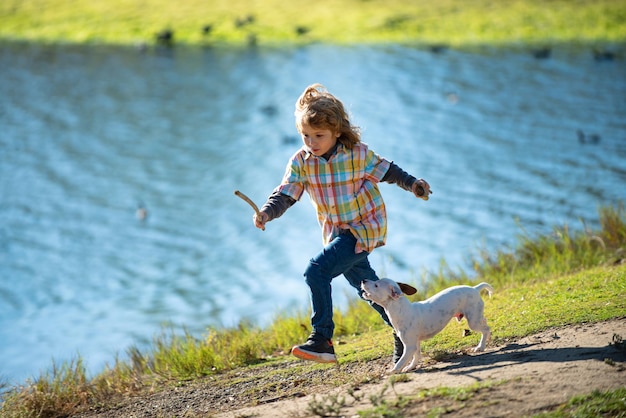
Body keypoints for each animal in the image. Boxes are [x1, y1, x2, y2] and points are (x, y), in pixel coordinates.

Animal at [360, 280, 492, 374]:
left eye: (376, 285)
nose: (363, 280)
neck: (400, 310)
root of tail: (474, 288)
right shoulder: (415, 343)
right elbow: (416, 356)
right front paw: (410, 367)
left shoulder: (410, 346)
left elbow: (402, 360)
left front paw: (393, 371)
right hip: (475, 317)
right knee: (485, 322)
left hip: (473, 321)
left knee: (486, 329)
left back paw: (480, 347)